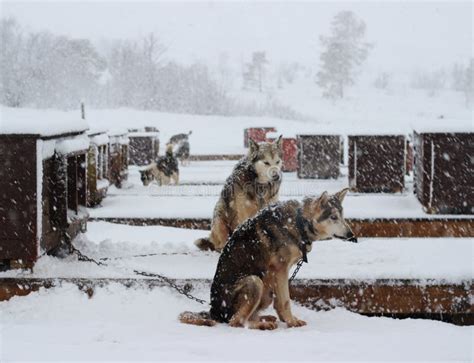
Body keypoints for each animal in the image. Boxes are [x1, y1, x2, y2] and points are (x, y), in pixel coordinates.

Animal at [180, 191, 358, 330]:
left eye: (342, 217)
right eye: (333, 217)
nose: (351, 235)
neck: (298, 222)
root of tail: (214, 312)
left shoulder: (278, 274)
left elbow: (281, 302)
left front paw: (286, 320)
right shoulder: (280, 269)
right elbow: (285, 301)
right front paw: (291, 322)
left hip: (266, 291)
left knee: (245, 317)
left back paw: (265, 319)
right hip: (255, 281)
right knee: (236, 322)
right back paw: (262, 325)